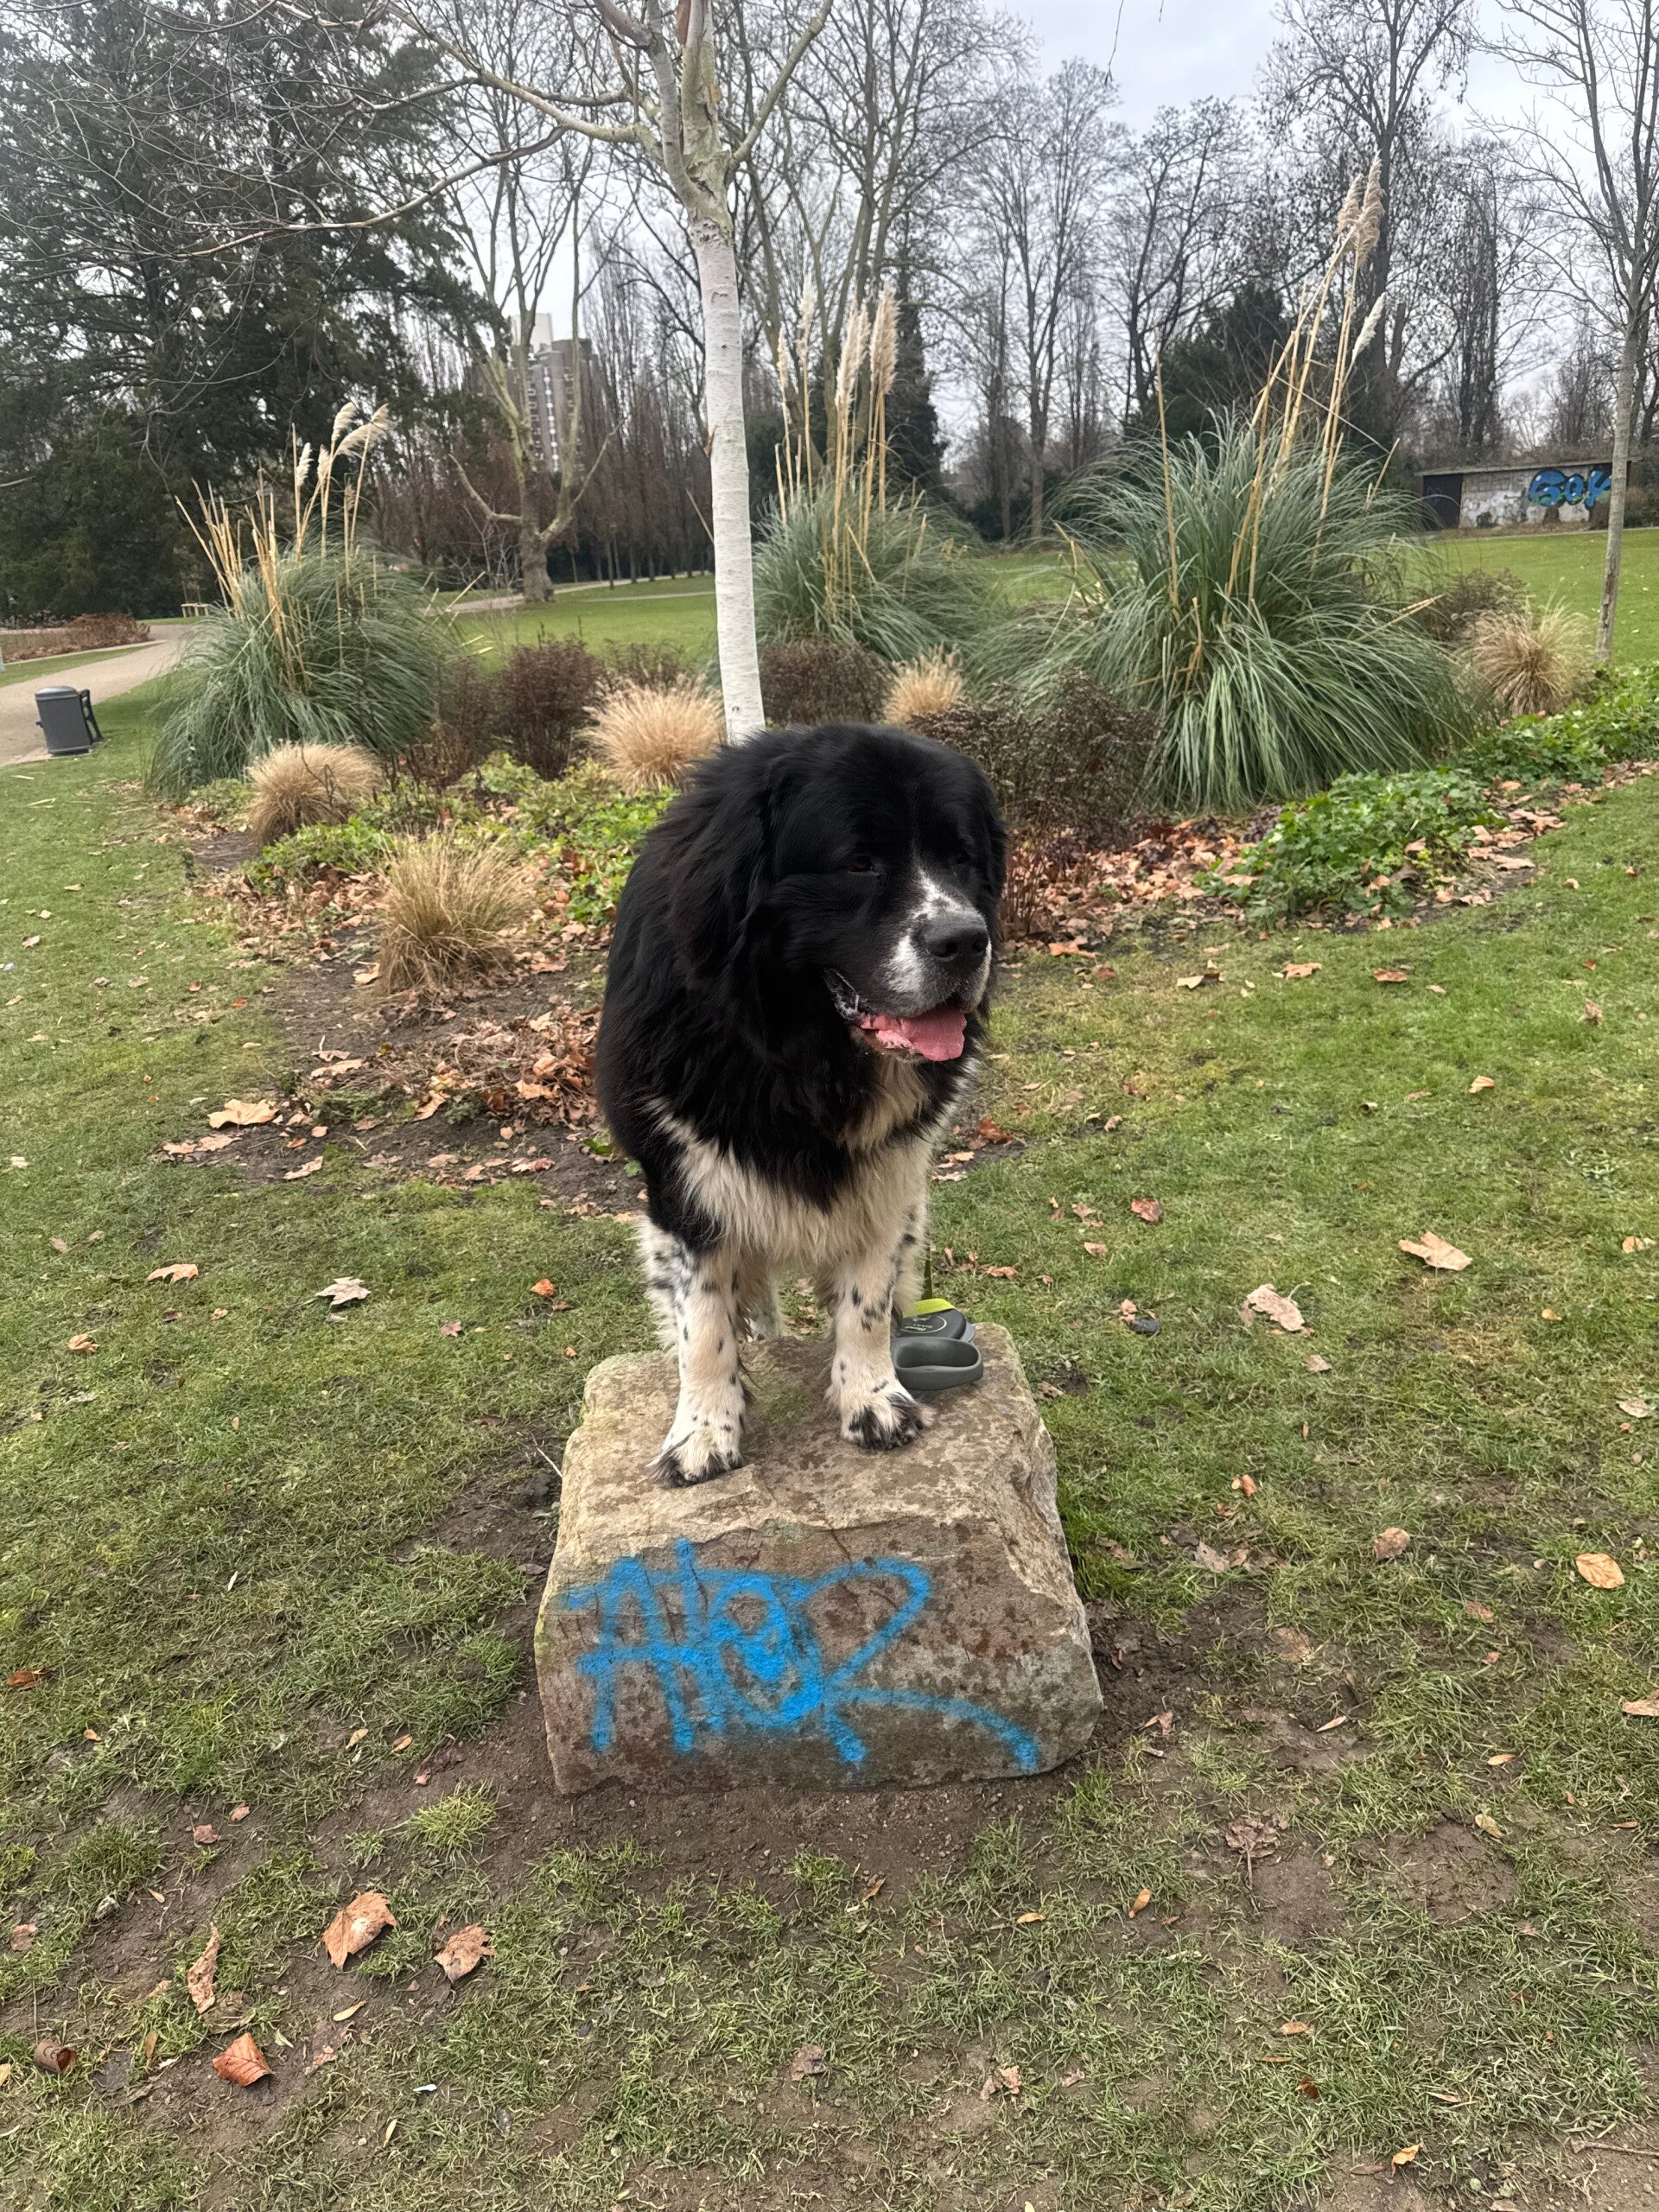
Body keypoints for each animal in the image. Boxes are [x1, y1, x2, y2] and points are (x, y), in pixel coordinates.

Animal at [595, 722, 1005, 1484]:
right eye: (859, 863)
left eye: (962, 858)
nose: (966, 940)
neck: (798, 1055)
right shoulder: (686, 1181)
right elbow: (703, 1323)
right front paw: (703, 1430)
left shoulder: (890, 1172)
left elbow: (867, 1301)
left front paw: (872, 1397)